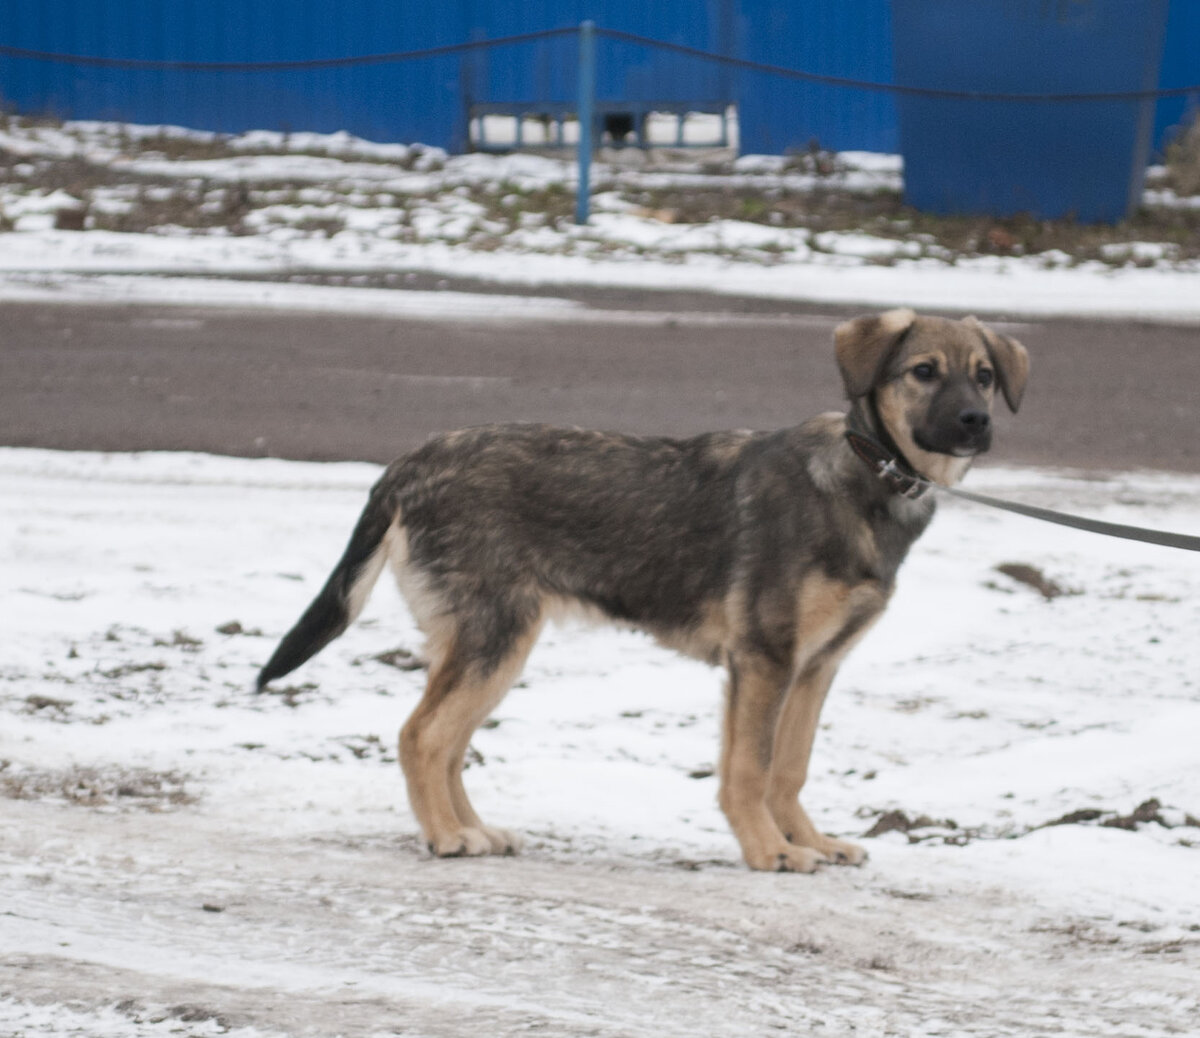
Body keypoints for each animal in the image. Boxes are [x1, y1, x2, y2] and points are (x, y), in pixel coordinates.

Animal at [258, 312, 1027, 868]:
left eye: (985, 377)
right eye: (923, 372)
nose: (976, 424)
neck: (867, 475)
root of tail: (411, 461)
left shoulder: (814, 668)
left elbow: (789, 768)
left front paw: (806, 841)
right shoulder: (764, 660)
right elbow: (749, 769)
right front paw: (770, 852)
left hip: (494, 646)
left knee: (446, 742)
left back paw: (475, 830)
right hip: (495, 638)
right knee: (421, 735)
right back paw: (447, 838)